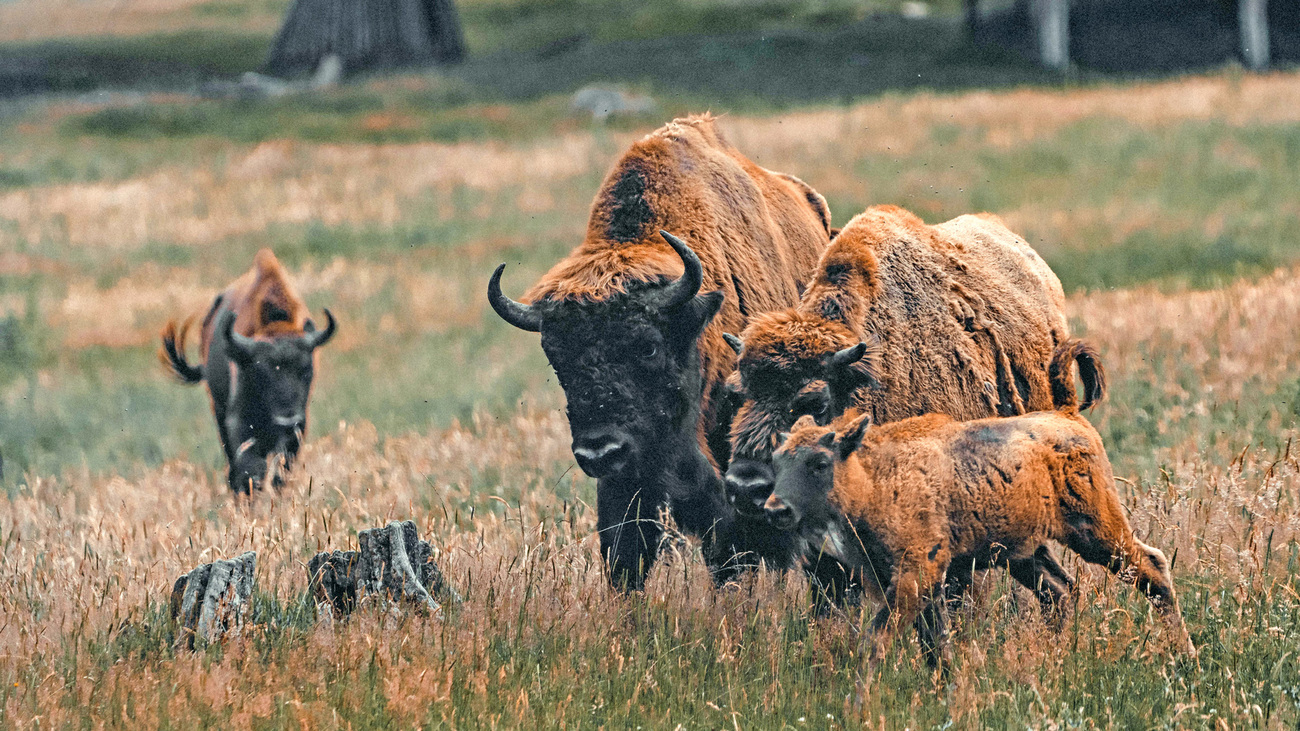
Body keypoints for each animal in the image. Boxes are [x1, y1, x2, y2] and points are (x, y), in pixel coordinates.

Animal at [158, 247, 335, 491]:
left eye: (307, 369)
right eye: (261, 371)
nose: (286, 420)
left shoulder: (299, 427)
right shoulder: (237, 421)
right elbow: (250, 466)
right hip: (219, 410)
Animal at [759, 338, 1196, 671]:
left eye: (820, 462)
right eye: (778, 461)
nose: (776, 509)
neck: (875, 474)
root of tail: (1068, 414)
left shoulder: (914, 577)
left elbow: (880, 639)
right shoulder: (907, 582)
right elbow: (935, 644)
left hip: (1097, 532)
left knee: (1152, 568)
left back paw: (1185, 655)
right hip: (1025, 552)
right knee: (1061, 591)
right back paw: (1055, 656)